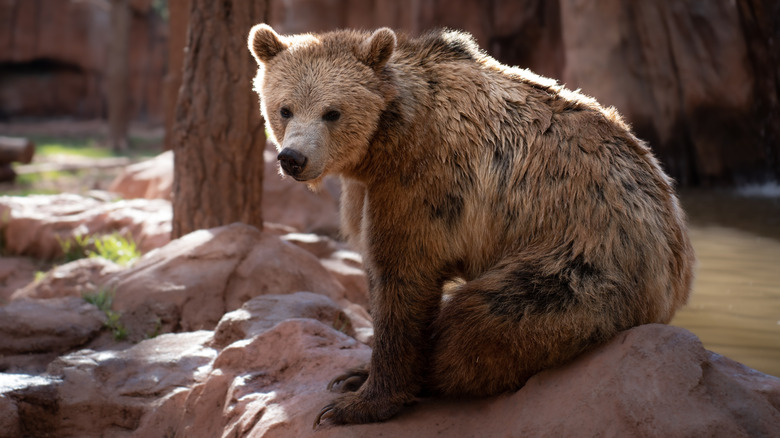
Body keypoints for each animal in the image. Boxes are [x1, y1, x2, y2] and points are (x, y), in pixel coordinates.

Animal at [248, 22, 696, 426]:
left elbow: (402, 277)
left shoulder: (425, 182)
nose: (293, 158)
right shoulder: (369, 189)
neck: (387, 139)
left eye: (332, 113)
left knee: (483, 320)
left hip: (585, 261)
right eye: (284, 108)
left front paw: (357, 404)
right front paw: (355, 375)